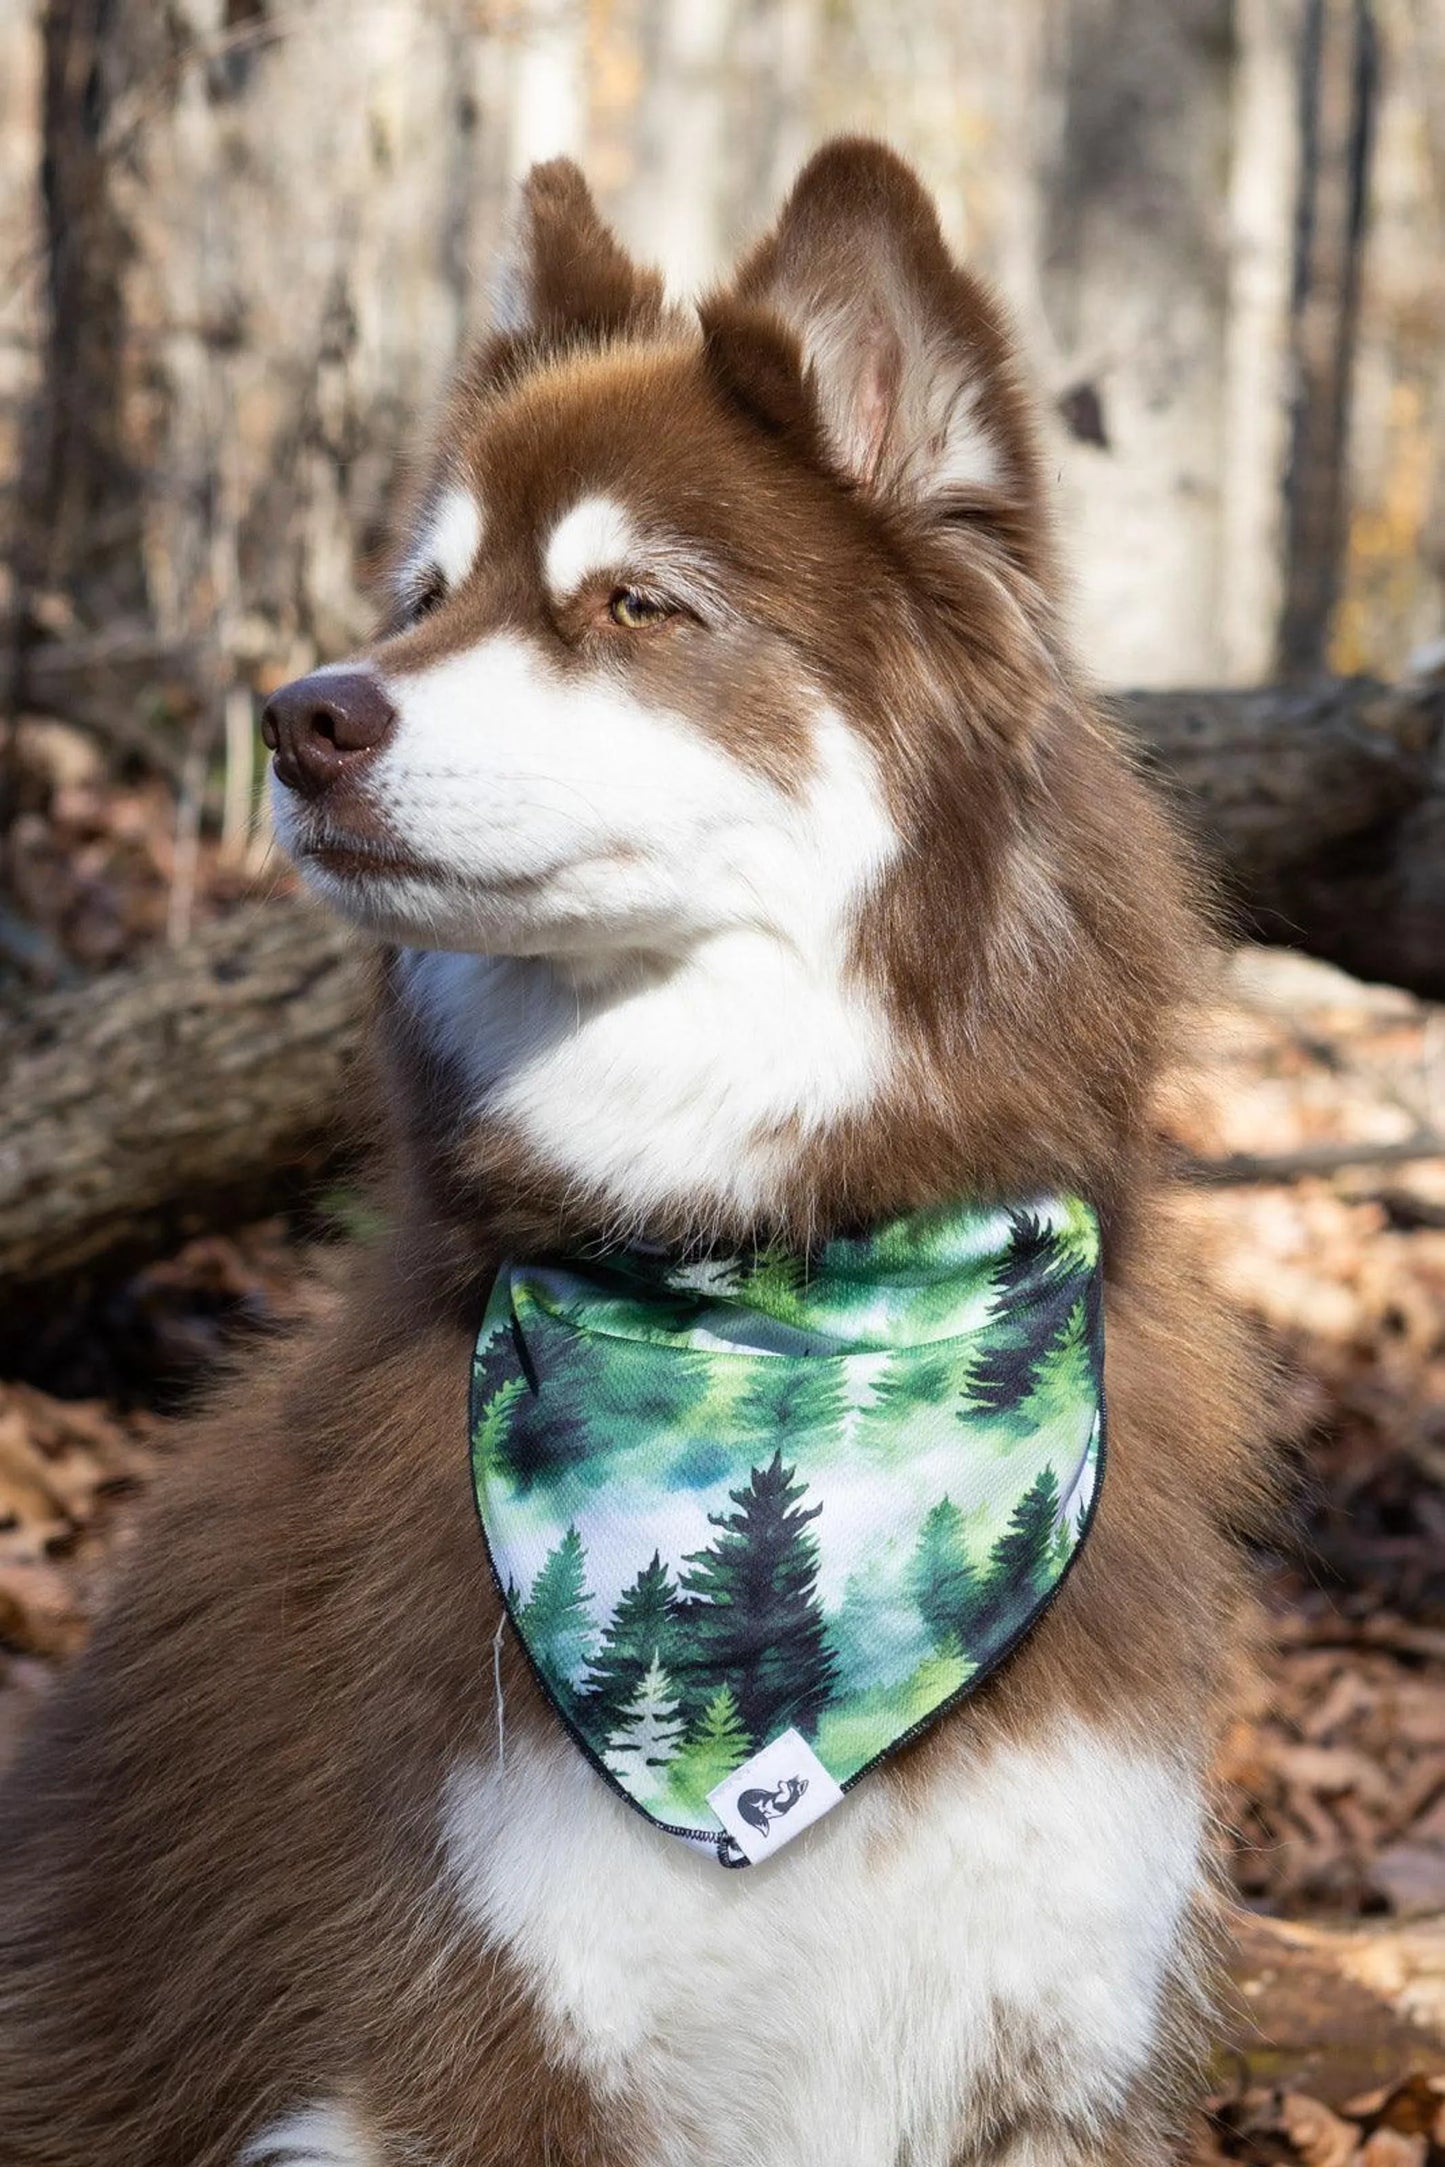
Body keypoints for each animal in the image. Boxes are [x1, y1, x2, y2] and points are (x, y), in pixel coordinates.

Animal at [0, 144, 1265, 2158]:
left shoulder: (1061, 2035)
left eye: (638, 605)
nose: (302, 714)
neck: (785, 1275)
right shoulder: (457, 2050)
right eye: (428, 592)